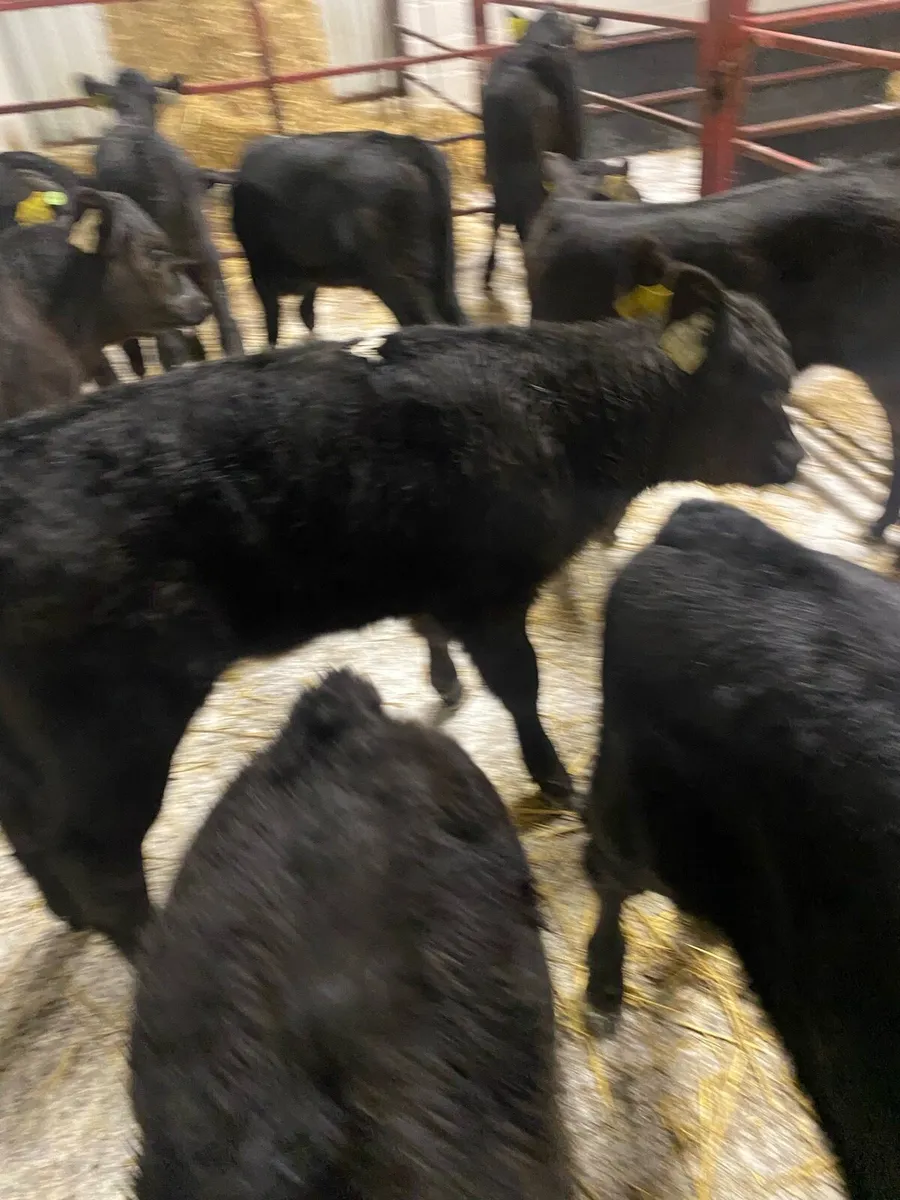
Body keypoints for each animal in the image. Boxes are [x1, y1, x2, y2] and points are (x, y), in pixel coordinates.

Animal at [0, 240, 801, 953]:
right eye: (757, 386)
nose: (795, 458)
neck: (555, 407)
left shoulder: (433, 577)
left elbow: (432, 632)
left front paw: (444, 683)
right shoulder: (490, 595)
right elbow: (522, 686)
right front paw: (553, 778)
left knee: (31, 832)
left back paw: (66, 913)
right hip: (114, 731)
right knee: (102, 867)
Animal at [231, 130, 466, 342]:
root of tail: (403, 144)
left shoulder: (260, 270)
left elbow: (273, 323)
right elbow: (306, 314)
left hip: (392, 272)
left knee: (424, 320)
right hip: (440, 269)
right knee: (453, 318)